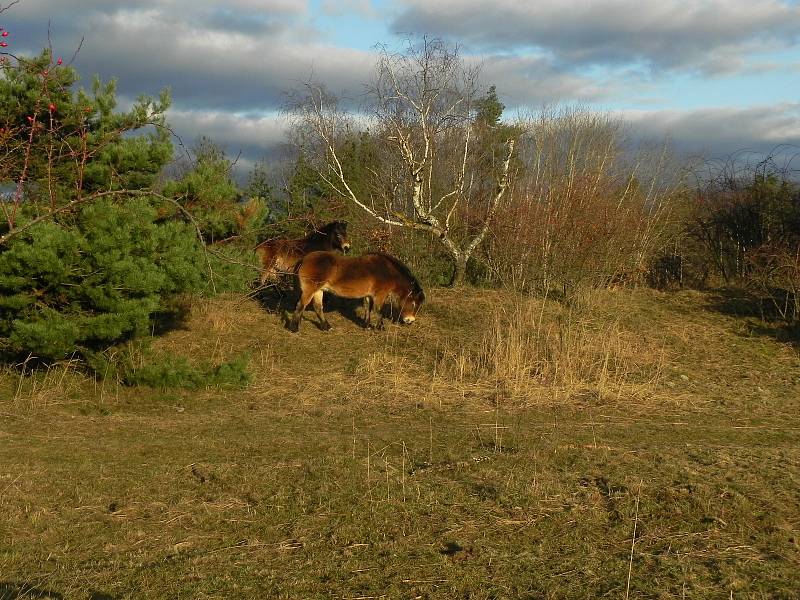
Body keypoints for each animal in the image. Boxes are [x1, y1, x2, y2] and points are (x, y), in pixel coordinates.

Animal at [288, 250, 424, 332]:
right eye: (413, 303)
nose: (410, 321)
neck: (387, 271)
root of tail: (304, 259)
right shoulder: (379, 295)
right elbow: (379, 311)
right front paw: (380, 327)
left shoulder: (369, 295)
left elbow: (368, 309)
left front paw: (366, 326)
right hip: (310, 290)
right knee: (301, 305)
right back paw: (294, 328)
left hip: (319, 290)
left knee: (318, 307)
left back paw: (326, 327)